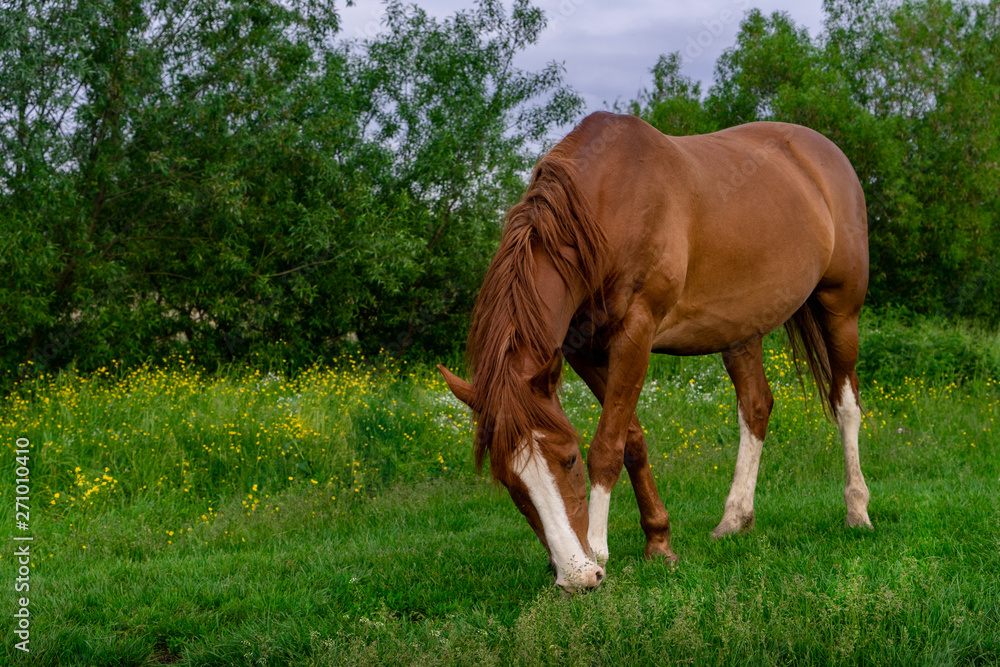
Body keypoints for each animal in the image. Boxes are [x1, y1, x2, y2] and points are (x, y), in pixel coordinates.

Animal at [438, 111, 872, 591]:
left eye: (568, 458)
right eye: (511, 483)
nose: (575, 577)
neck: (605, 206)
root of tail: (825, 153)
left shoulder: (636, 332)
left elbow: (607, 446)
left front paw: (599, 549)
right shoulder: (583, 350)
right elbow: (632, 439)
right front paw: (659, 542)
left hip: (840, 310)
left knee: (845, 403)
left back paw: (857, 509)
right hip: (742, 330)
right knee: (756, 407)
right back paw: (735, 519)